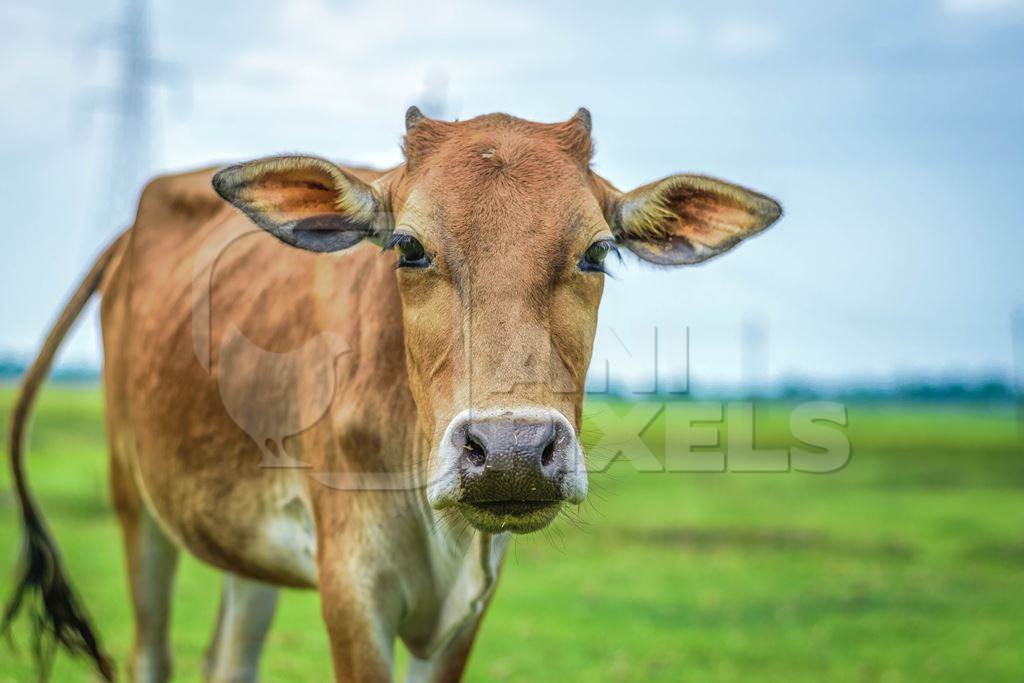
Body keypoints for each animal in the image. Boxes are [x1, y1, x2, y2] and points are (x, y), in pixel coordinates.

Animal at [4, 105, 778, 679]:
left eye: (596, 251)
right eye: (408, 247)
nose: (512, 453)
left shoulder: (468, 605)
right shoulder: (352, 591)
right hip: (135, 502)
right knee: (151, 653)